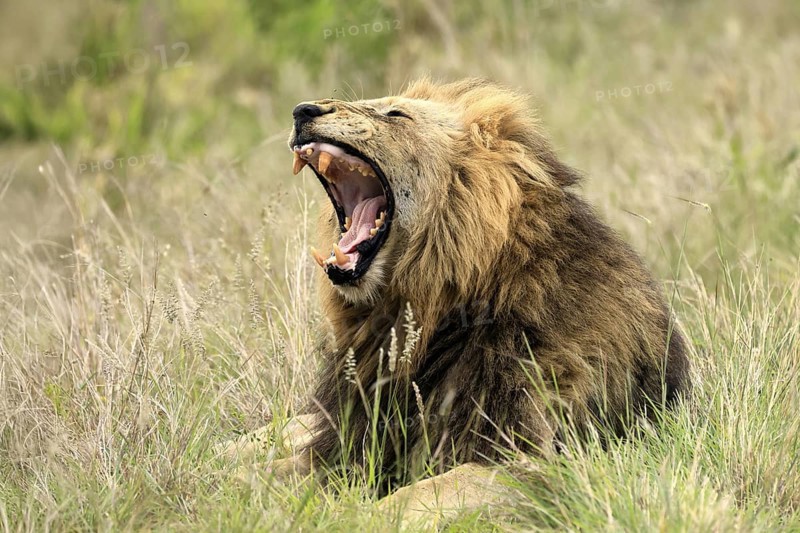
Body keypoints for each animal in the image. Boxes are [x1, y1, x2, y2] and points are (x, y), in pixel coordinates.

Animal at [231, 78, 690, 524]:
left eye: (395, 114)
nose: (303, 110)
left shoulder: (537, 462)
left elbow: (409, 499)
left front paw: (352, 517)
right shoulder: (351, 438)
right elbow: (259, 473)